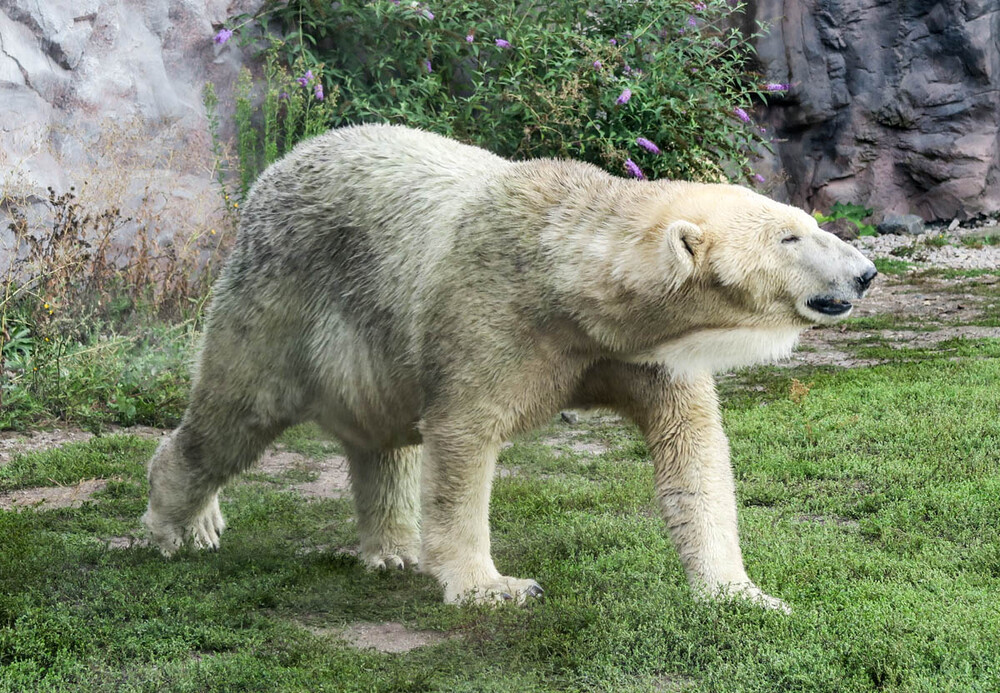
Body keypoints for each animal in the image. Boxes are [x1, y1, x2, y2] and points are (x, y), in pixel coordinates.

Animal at [143, 124, 876, 612]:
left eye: (808, 220)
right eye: (790, 236)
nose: (867, 272)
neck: (569, 279)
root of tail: (278, 165)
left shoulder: (638, 352)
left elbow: (691, 448)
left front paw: (742, 592)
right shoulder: (489, 316)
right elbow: (464, 437)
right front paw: (493, 586)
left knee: (380, 434)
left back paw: (390, 547)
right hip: (281, 297)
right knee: (234, 412)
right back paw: (182, 526)